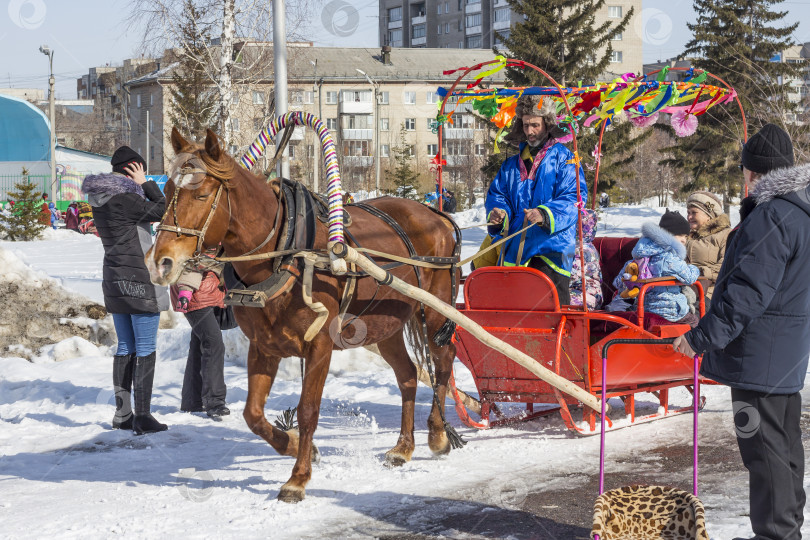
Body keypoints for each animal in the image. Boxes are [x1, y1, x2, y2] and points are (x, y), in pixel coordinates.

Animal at [145, 129, 460, 504]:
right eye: (166, 192)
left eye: (203, 194)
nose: (160, 262)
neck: (287, 253)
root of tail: (435, 213)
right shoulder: (263, 347)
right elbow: (253, 414)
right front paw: (295, 445)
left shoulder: (320, 347)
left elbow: (309, 410)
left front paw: (298, 478)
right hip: (386, 327)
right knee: (409, 375)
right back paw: (403, 447)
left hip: (435, 310)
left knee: (443, 361)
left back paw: (438, 435)